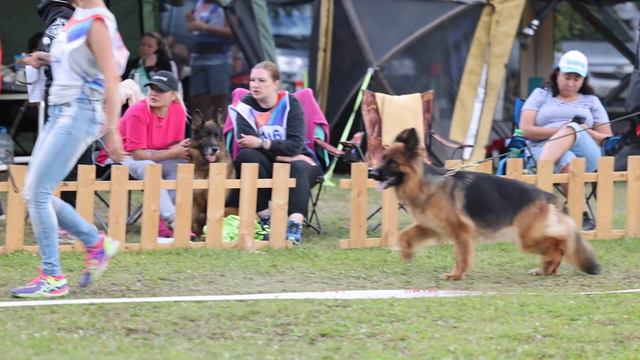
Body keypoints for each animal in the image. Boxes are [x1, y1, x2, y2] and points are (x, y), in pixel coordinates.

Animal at [370, 128, 600, 280]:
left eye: (392, 162)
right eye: (382, 158)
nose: (371, 173)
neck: (425, 183)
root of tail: (547, 195)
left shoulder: (460, 232)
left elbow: (461, 255)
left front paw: (455, 275)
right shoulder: (431, 226)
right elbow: (404, 235)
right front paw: (406, 253)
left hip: (527, 238)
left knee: (559, 242)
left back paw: (547, 266)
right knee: (559, 242)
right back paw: (547, 268)